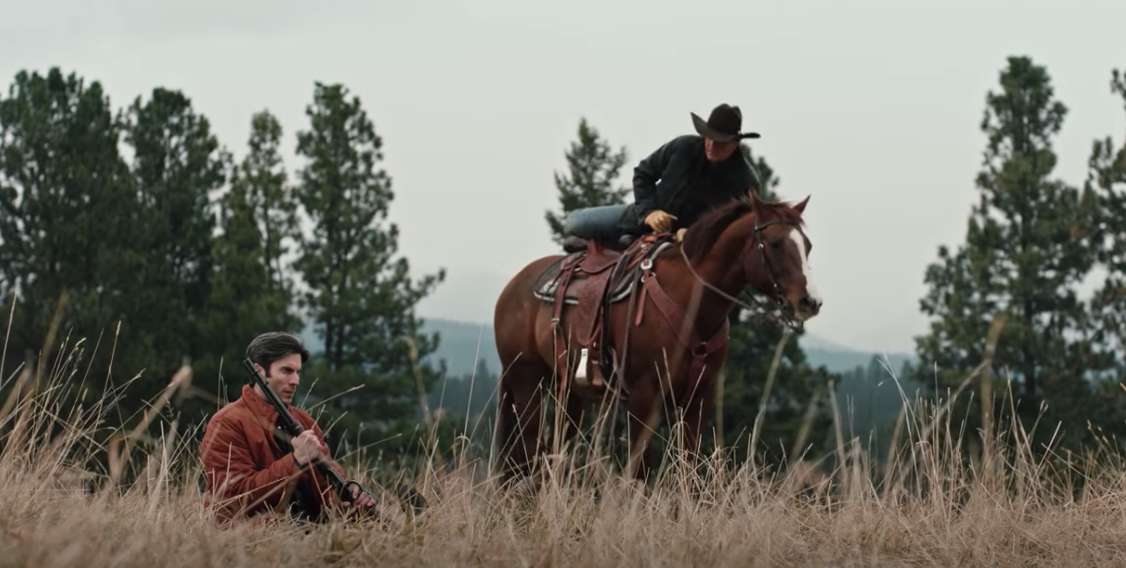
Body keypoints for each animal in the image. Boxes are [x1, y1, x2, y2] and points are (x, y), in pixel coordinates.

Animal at [488, 190, 824, 489]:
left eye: (807, 245)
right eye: (775, 244)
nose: (811, 301)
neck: (689, 302)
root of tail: (512, 287)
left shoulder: (698, 399)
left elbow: (688, 470)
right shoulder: (643, 397)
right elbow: (642, 472)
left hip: (570, 391)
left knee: (553, 455)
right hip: (526, 383)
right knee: (530, 454)